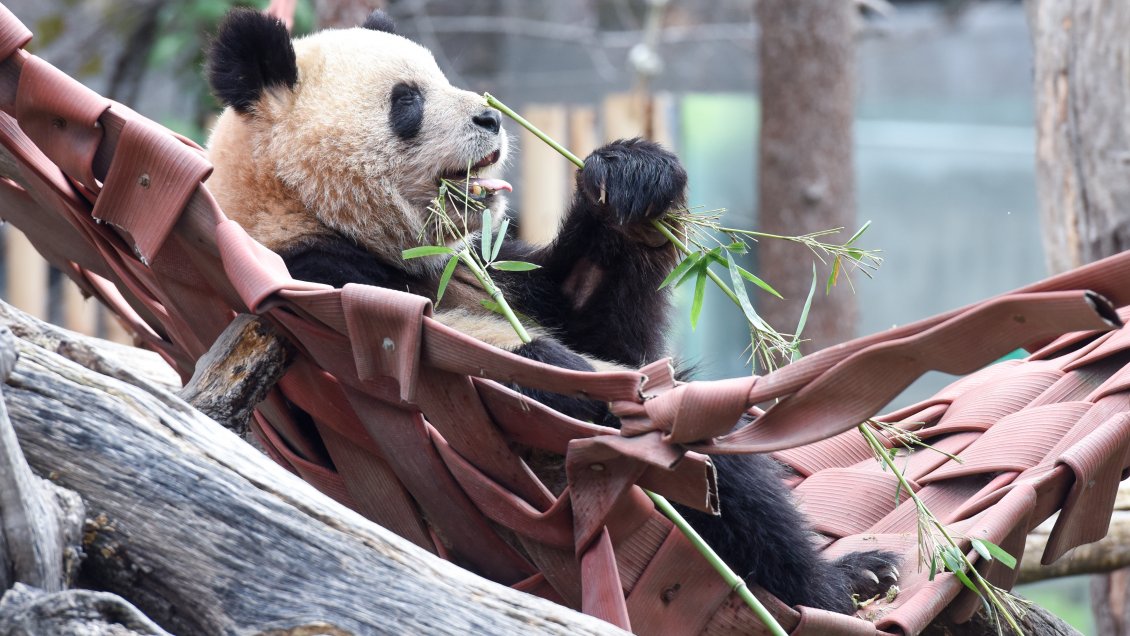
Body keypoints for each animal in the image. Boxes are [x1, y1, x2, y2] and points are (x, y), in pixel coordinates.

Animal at [204, 8, 898, 616]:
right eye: (407, 102)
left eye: (441, 75)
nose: (490, 117)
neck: (296, 204)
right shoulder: (318, 278)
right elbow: (489, 367)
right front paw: (574, 380)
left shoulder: (484, 266)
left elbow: (596, 320)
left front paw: (631, 179)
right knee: (719, 475)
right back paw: (829, 588)